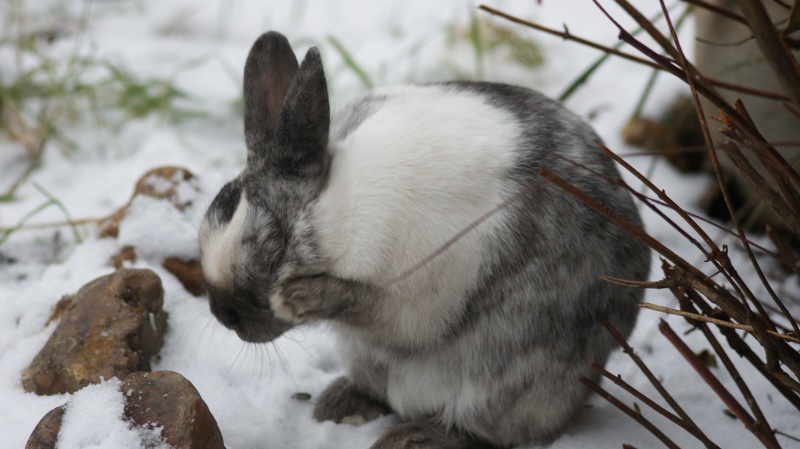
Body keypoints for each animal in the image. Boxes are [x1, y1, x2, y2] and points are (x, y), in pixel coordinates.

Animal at [198, 29, 648, 446]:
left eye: (273, 251)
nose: (222, 314)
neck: (337, 212)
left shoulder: (417, 295)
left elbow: (368, 304)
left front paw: (297, 299)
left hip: (509, 382)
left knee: (487, 430)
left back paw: (412, 438)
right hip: (367, 358)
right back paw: (341, 402)